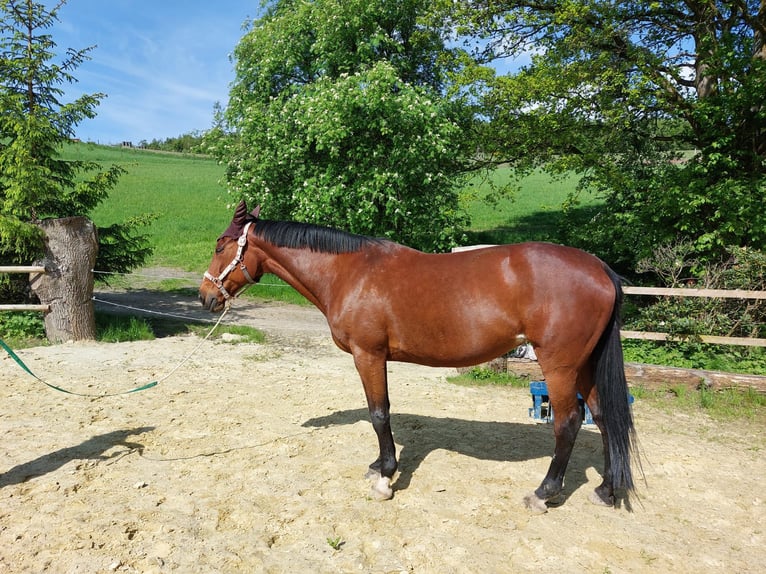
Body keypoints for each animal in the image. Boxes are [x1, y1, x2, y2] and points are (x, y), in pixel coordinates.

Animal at [200, 201, 640, 512]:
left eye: (220, 245)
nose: (205, 297)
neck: (350, 272)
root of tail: (601, 269)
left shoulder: (369, 355)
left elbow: (379, 413)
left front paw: (385, 478)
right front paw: (379, 467)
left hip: (560, 367)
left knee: (568, 422)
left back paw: (543, 493)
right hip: (585, 367)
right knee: (603, 418)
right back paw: (605, 490)